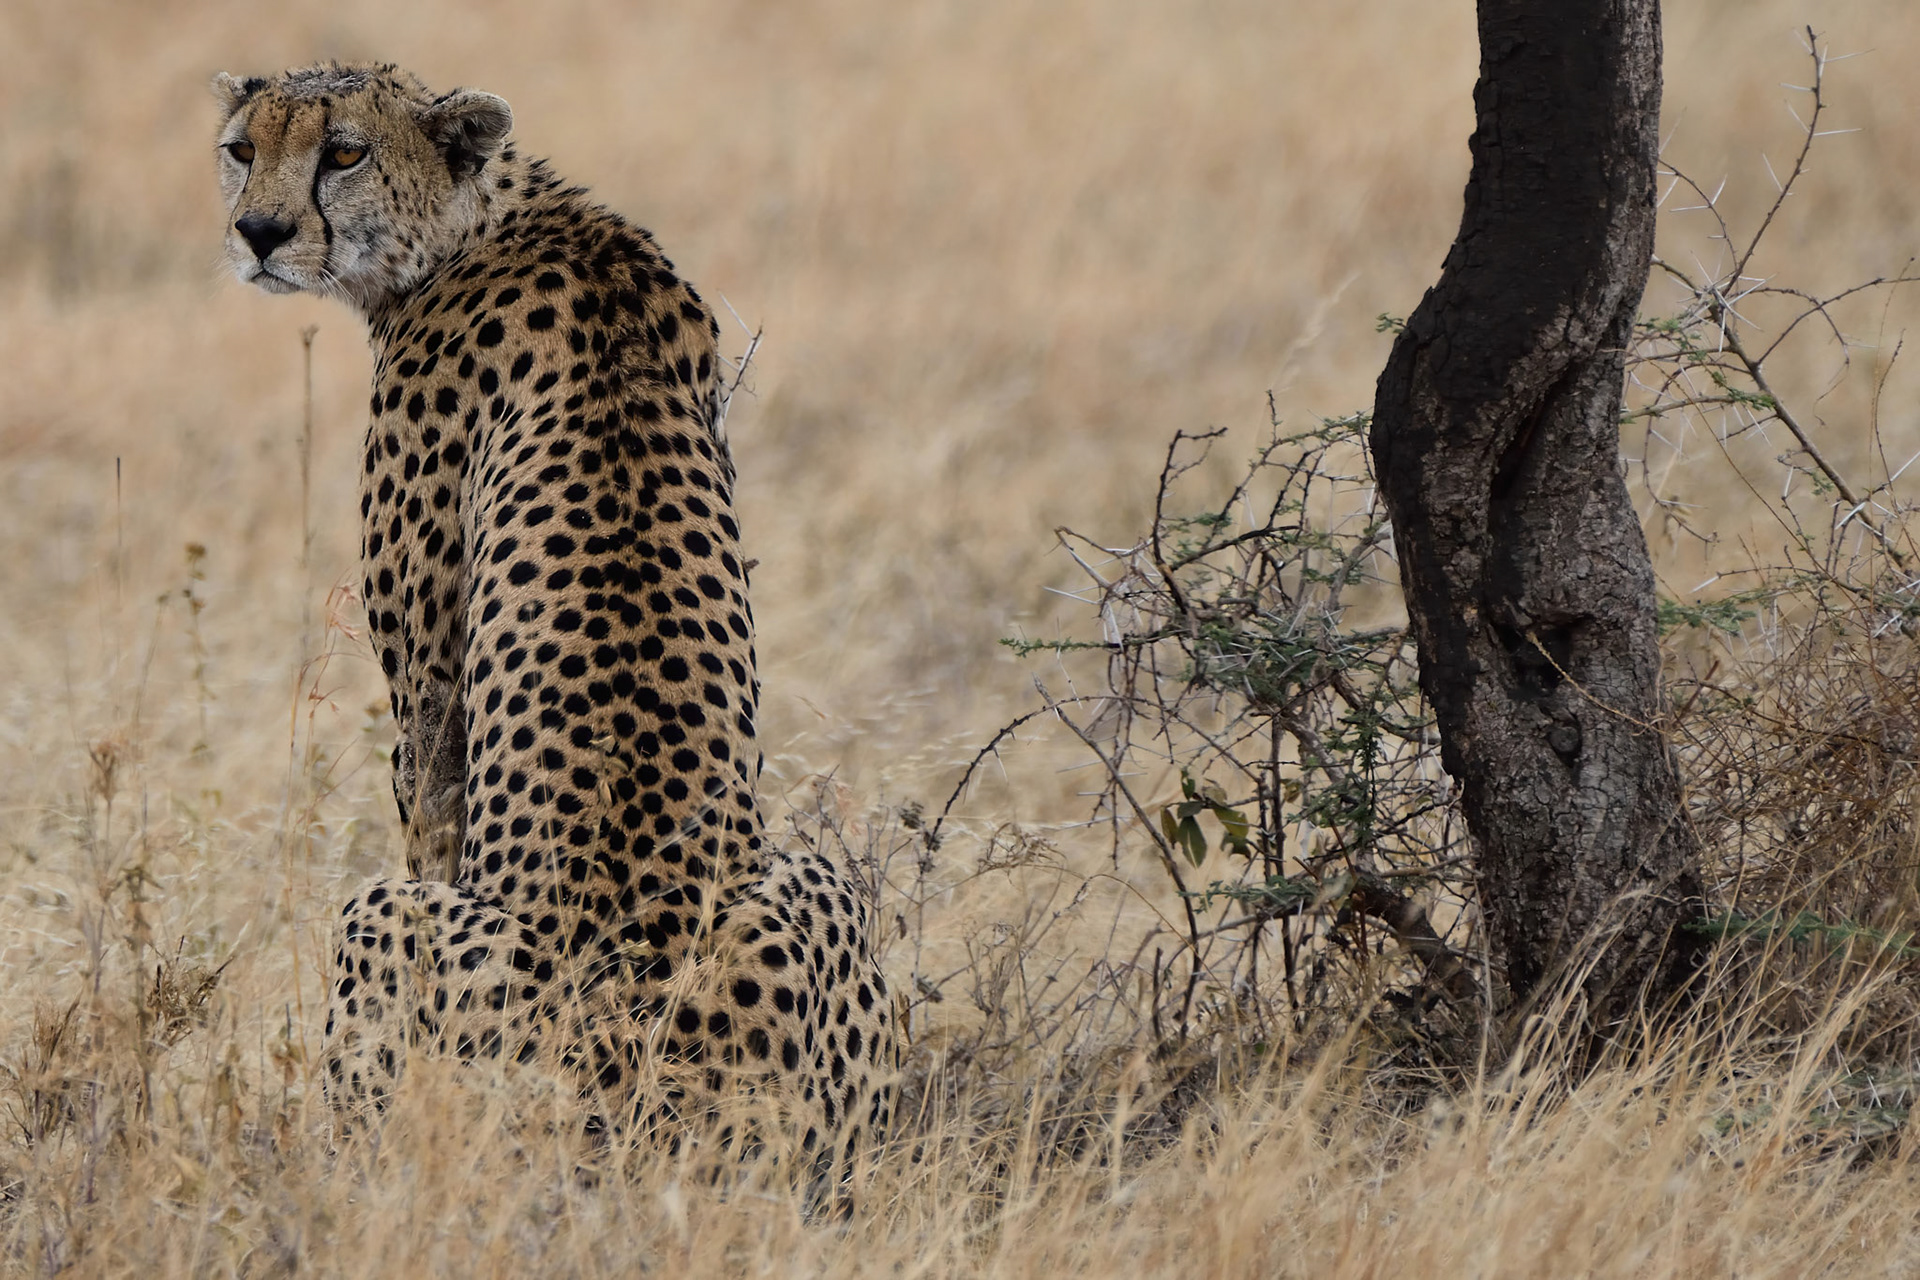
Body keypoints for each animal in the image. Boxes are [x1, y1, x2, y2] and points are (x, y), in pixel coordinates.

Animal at [212, 61, 897, 1171]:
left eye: (344, 152)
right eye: (242, 148)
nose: (259, 232)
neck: (484, 218)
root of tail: (638, 1076)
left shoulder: (429, 684)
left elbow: (428, 797)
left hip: (381, 923)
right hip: (817, 890)